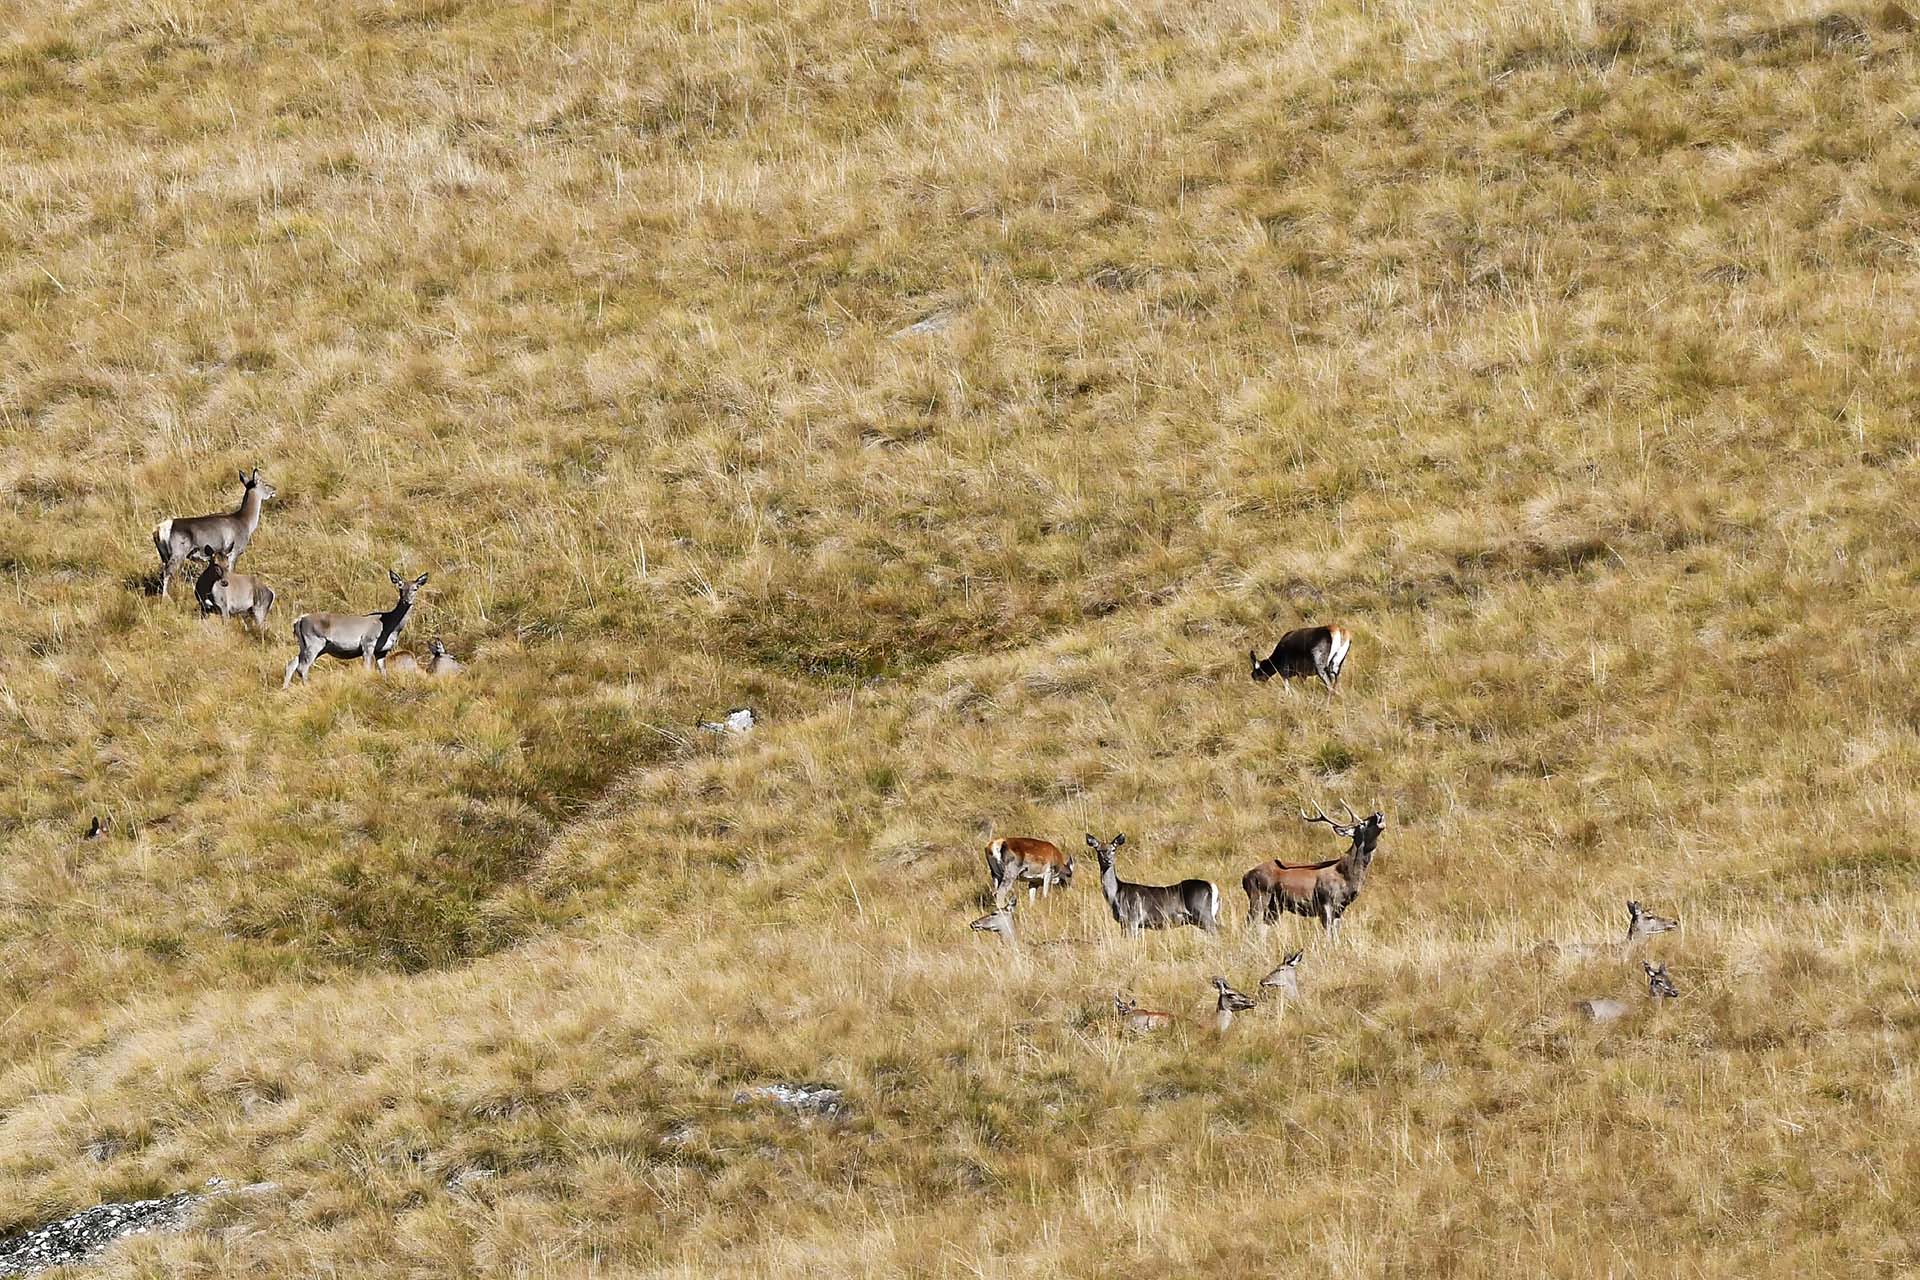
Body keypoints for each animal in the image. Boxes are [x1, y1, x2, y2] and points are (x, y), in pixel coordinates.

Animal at [152, 468, 275, 598]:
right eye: (265, 483)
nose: (274, 489)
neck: (244, 521)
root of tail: (158, 529)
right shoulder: (234, 551)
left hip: (164, 556)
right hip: (178, 554)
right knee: (167, 574)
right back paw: (166, 598)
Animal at [283, 570, 429, 687]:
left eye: (415, 588)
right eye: (400, 588)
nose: (407, 601)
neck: (390, 627)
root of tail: (299, 620)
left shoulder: (382, 651)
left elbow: (383, 671)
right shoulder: (368, 643)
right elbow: (367, 669)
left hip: (308, 646)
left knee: (292, 663)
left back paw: (285, 689)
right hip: (314, 642)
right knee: (302, 667)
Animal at [1086, 833, 1220, 934]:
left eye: (1113, 849)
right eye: (1099, 850)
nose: (1108, 860)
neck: (1115, 895)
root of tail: (1212, 887)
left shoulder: (1133, 918)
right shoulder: (1125, 923)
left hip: (1203, 912)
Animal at [1241, 803, 1386, 943]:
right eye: (1362, 824)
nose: (1379, 814)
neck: (1346, 876)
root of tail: (1245, 876)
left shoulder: (1340, 908)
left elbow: (1336, 937)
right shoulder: (1326, 901)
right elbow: (1328, 936)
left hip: (1274, 906)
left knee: (1262, 928)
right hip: (1259, 896)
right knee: (1249, 924)